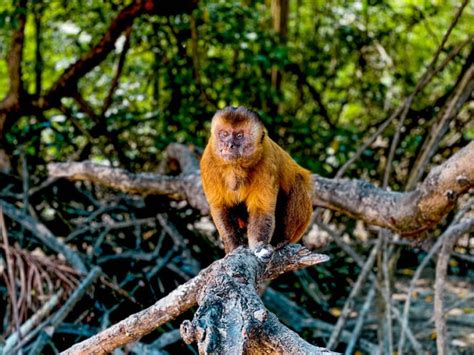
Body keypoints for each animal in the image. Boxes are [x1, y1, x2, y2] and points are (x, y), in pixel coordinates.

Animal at [201, 105, 314, 253]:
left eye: (239, 135)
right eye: (224, 134)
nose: (228, 145)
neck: (235, 167)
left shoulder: (267, 160)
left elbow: (261, 210)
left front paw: (259, 246)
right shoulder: (208, 159)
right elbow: (220, 207)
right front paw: (233, 248)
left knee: (297, 183)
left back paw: (281, 240)